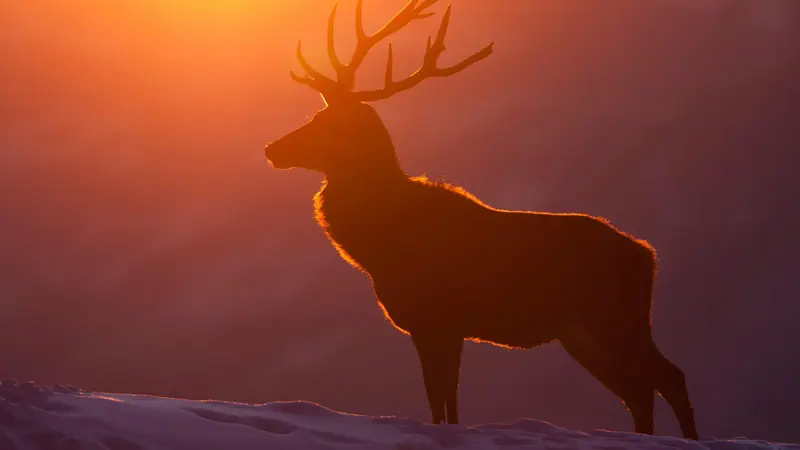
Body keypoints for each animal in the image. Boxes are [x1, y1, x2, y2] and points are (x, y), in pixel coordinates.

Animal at [264, 0, 699, 440]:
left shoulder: (441, 319)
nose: (271, 148)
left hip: (617, 316)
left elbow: (444, 396)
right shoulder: (432, 325)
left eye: (323, 122)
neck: (381, 243)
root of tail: (648, 255)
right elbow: (440, 397)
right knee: (638, 390)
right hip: (582, 333)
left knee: (669, 377)